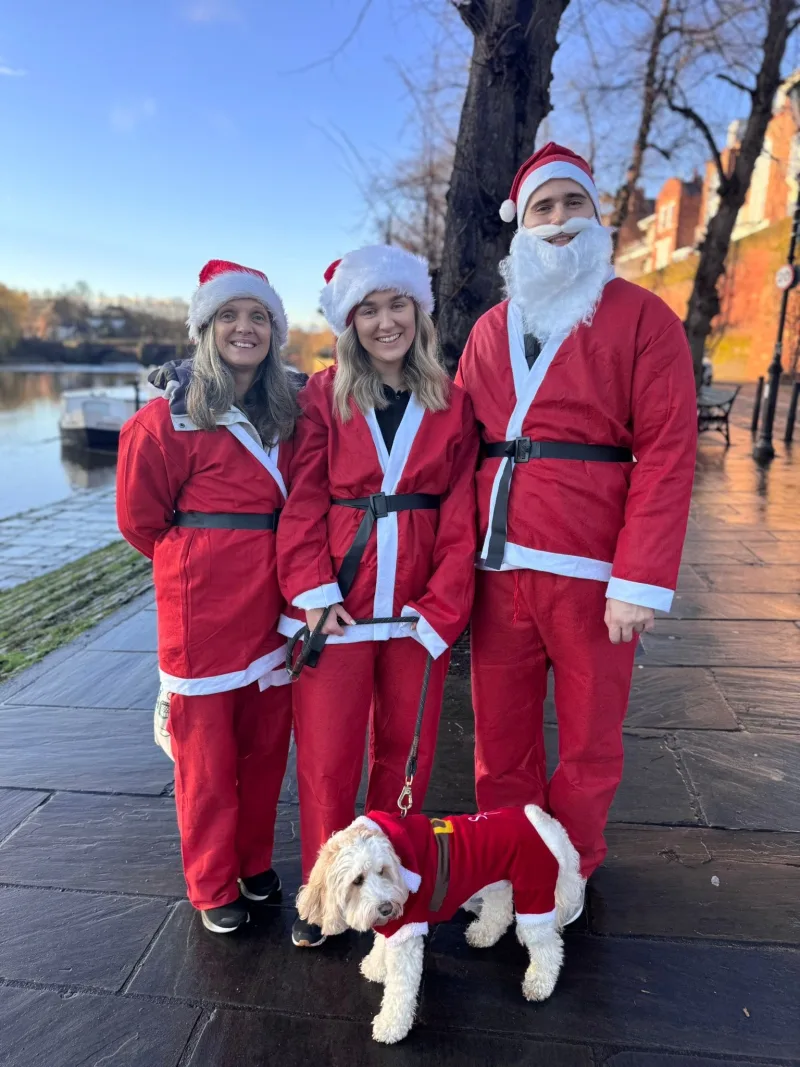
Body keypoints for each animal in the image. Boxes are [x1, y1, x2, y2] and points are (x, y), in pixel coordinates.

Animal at [294, 806, 584, 1041]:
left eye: (382, 871)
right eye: (357, 880)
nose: (387, 907)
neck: (400, 860)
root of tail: (541, 822)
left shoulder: (407, 927)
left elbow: (401, 988)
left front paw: (391, 1026)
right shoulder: (396, 925)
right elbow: (382, 943)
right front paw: (376, 966)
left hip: (534, 893)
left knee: (548, 945)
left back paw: (540, 983)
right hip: (500, 880)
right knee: (500, 912)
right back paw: (484, 934)